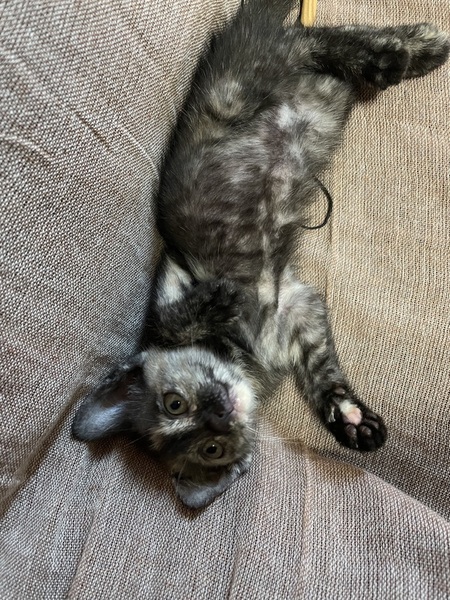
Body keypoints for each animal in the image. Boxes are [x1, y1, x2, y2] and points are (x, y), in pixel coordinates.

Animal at [72, 0, 450, 509]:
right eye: (210, 448)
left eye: (175, 402)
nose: (219, 413)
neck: (247, 353)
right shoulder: (301, 311)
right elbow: (323, 373)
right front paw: (349, 418)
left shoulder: (176, 271)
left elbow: (172, 319)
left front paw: (214, 301)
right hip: (310, 86)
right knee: (327, 52)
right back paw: (410, 50)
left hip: (242, 84)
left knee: (322, 40)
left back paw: (417, 48)